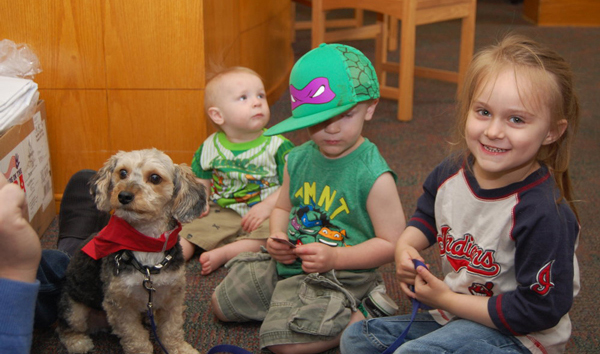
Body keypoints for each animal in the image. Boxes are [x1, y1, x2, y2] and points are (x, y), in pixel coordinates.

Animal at [56, 149, 206, 354]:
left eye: (155, 178)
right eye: (122, 172)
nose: (124, 196)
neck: (145, 243)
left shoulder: (172, 296)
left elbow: (171, 330)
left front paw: (179, 349)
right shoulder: (120, 306)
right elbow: (136, 338)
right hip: (75, 309)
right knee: (64, 326)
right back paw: (77, 342)